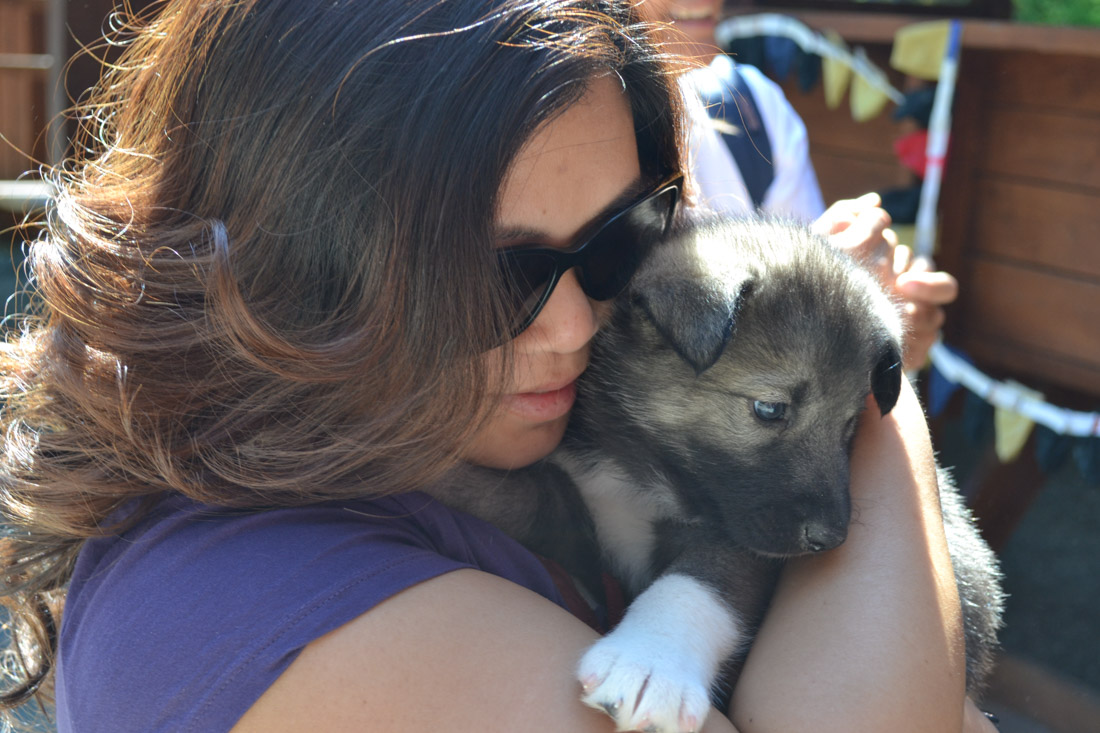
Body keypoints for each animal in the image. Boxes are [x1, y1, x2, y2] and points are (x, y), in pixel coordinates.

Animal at [432, 216, 1003, 733]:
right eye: (770, 409)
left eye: (849, 427)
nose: (831, 538)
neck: (642, 465)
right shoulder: (572, 494)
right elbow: (516, 496)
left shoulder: (741, 538)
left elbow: (703, 580)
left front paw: (650, 662)